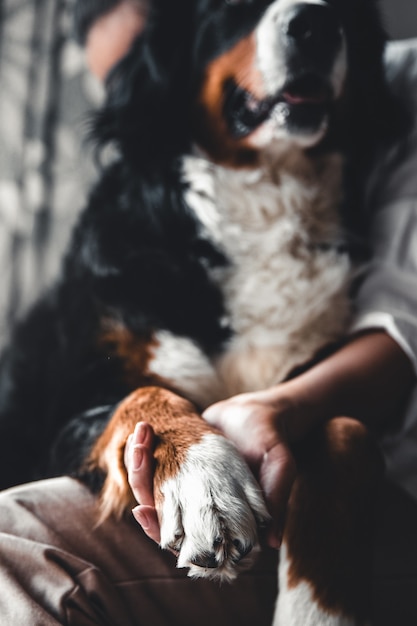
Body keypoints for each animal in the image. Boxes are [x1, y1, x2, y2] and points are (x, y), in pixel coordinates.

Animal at [0, 0, 400, 620]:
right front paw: (204, 482)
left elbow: (344, 430)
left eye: (344, 11)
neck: (267, 189)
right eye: (227, 9)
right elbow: (147, 397)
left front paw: (315, 609)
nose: (314, 24)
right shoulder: (69, 410)